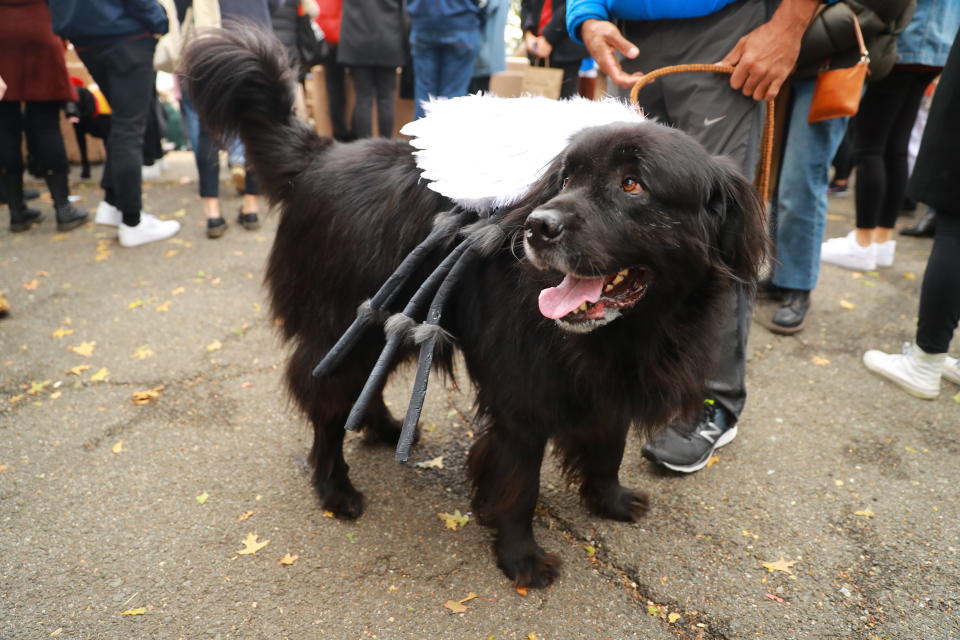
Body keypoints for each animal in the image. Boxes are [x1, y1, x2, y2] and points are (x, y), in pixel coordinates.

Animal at [180, 30, 764, 592]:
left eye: (632, 184)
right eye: (564, 179)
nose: (538, 227)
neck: (630, 329)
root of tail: (318, 156)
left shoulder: (607, 387)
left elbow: (608, 446)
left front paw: (611, 500)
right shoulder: (521, 400)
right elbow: (519, 484)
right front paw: (521, 559)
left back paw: (385, 428)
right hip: (344, 327)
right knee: (325, 407)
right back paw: (335, 488)